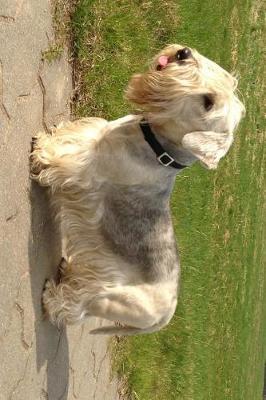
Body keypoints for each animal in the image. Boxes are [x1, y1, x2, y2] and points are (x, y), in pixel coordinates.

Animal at [30, 45, 244, 336]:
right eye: (218, 77)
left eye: (208, 102)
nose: (183, 53)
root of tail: (162, 319)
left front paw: (41, 152)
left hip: (106, 298)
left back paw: (52, 298)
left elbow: (59, 159)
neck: (157, 145)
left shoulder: (84, 170)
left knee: (74, 307)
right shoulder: (93, 134)